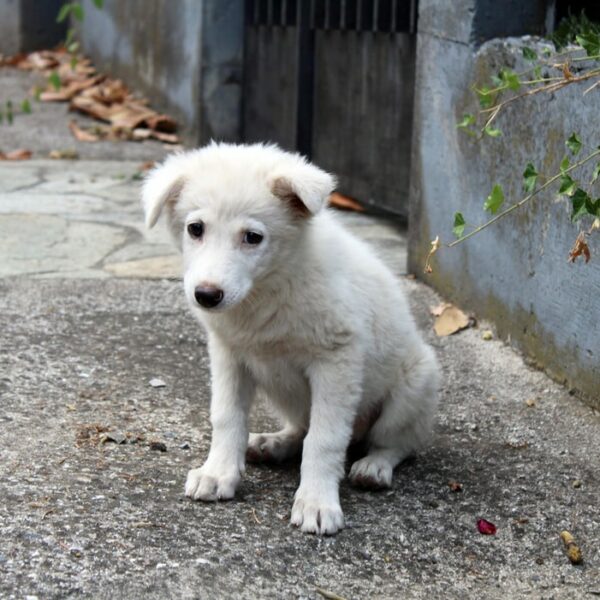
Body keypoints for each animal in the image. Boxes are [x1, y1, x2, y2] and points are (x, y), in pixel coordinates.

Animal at [142, 142, 440, 536]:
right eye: (195, 228)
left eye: (253, 237)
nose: (206, 295)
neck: (269, 286)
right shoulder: (229, 355)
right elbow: (227, 417)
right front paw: (218, 472)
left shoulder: (337, 360)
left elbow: (324, 439)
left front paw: (316, 501)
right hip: (286, 394)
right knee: (301, 427)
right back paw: (274, 443)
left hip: (416, 383)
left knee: (397, 442)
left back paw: (374, 466)